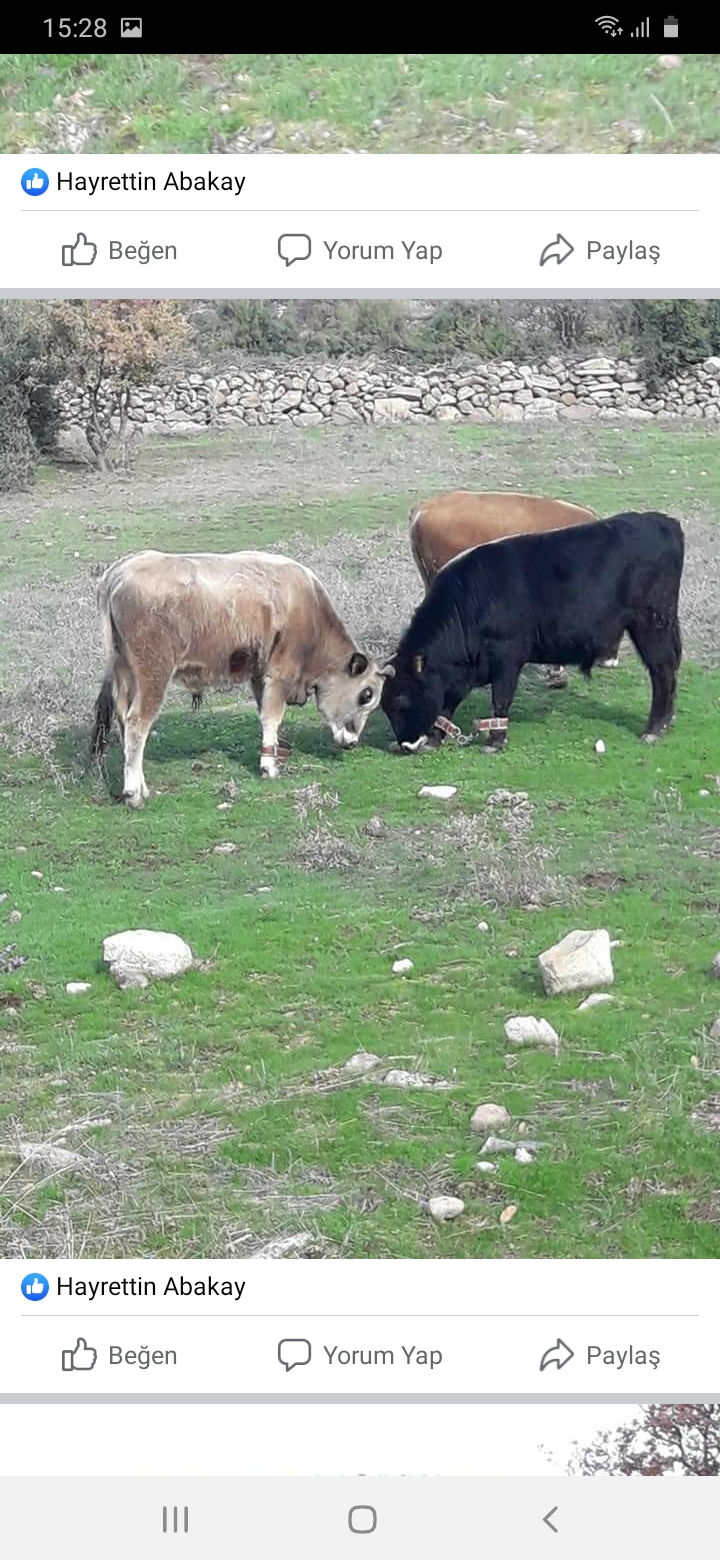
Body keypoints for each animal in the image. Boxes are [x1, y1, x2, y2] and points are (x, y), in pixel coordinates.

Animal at [91, 549, 393, 805]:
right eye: (366, 694)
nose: (352, 743)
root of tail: (120, 570)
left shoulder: (259, 676)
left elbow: (264, 715)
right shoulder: (279, 674)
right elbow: (272, 717)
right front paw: (269, 767)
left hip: (124, 673)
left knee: (124, 721)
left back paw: (139, 786)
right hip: (153, 674)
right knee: (137, 724)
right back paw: (134, 794)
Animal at [381, 512, 683, 754]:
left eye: (400, 699)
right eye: (384, 704)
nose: (406, 745)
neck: (471, 600)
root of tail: (665, 522)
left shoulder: (507, 657)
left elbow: (500, 699)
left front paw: (495, 741)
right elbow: (447, 704)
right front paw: (436, 738)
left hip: (651, 624)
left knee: (662, 670)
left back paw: (654, 729)